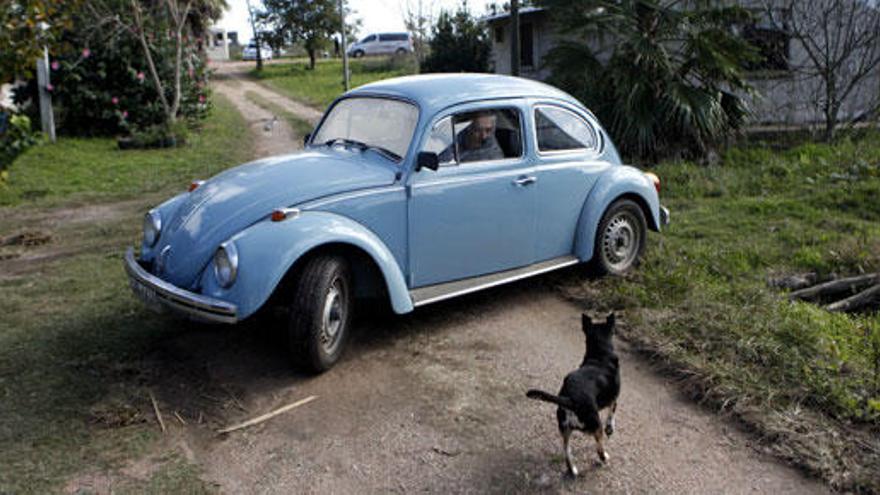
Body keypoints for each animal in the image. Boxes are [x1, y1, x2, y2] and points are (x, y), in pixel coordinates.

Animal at [524, 314, 624, 476]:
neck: (600, 355)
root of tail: (569, 399)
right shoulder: (613, 399)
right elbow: (611, 415)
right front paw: (611, 429)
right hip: (595, 425)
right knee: (599, 447)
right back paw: (604, 458)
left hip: (565, 430)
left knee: (566, 451)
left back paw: (572, 470)